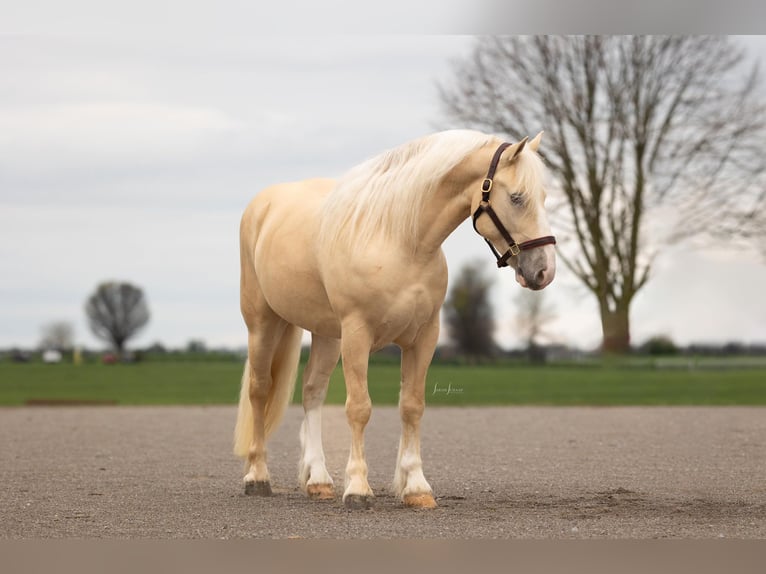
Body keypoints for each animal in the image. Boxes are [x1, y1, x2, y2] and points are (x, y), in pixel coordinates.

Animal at [233, 129, 556, 509]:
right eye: (518, 197)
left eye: (544, 197)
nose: (544, 271)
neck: (399, 241)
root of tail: (263, 204)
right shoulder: (357, 333)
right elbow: (359, 408)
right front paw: (358, 488)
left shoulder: (423, 337)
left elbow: (412, 406)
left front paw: (416, 487)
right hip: (263, 323)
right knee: (259, 390)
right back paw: (257, 476)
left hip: (327, 334)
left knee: (312, 391)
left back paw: (320, 481)